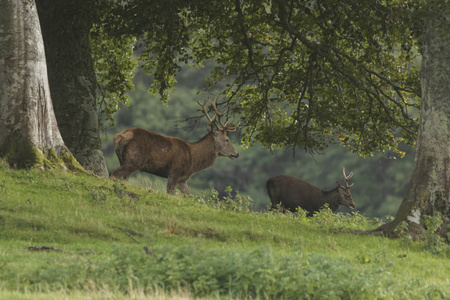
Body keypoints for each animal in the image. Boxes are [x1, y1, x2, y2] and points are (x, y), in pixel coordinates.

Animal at [110, 95, 239, 196]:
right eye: (227, 139)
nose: (237, 153)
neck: (194, 160)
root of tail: (119, 136)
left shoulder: (182, 180)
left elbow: (190, 197)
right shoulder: (174, 172)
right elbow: (170, 193)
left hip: (123, 159)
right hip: (134, 160)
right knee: (113, 175)